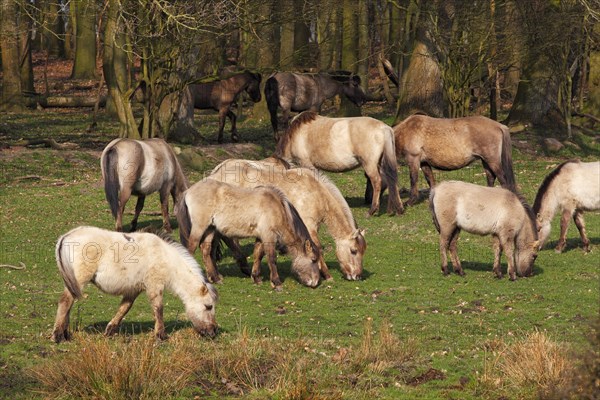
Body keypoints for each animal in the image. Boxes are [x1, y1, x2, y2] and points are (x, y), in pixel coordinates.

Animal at [50, 227, 217, 342]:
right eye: (208, 306)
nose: (213, 332)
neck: (165, 257)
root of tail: (66, 236)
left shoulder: (134, 290)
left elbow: (124, 308)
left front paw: (110, 330)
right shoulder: (155, 286)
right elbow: (158, 309)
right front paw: (161, 335)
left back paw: (65, 334)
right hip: (79, 281)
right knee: (65, 302)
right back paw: (57, 336)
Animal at [176, 179, 322, 290]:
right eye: (313, 259)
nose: (315, 283)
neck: (277, 208)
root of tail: (188, 191)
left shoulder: (261, 237)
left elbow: (258, 255)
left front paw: (256, 277)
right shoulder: (269, 236)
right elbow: (271, 258)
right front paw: (276, 283)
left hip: (210, 229)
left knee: (206, 251)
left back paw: (215, 278)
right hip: (199, 229)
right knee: (191, 249)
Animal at [209, 159, 368, 282]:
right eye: (353, 251)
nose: (357, 276)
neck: (316, 193)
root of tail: (215, 174)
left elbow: (260, 250)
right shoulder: (309, 227)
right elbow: (317, 248)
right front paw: (327, 275)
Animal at [276, 109, 404, 217]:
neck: (295, 135)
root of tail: (384, 127)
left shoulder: (307, 164)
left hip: (370, 164)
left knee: (377, 182)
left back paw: (372, 210)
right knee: (391, 179)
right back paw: (398, 209)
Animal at [364, 113, 516, 205]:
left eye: (369, 178)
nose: (367, 199)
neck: (407, 131)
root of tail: (499, 125)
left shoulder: (414, 159)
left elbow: (414, 179)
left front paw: (411, 201)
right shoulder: (424, 162)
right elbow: (430, 180)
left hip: (492, 160)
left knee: (503, 180)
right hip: (485, 160)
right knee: (491, 177)